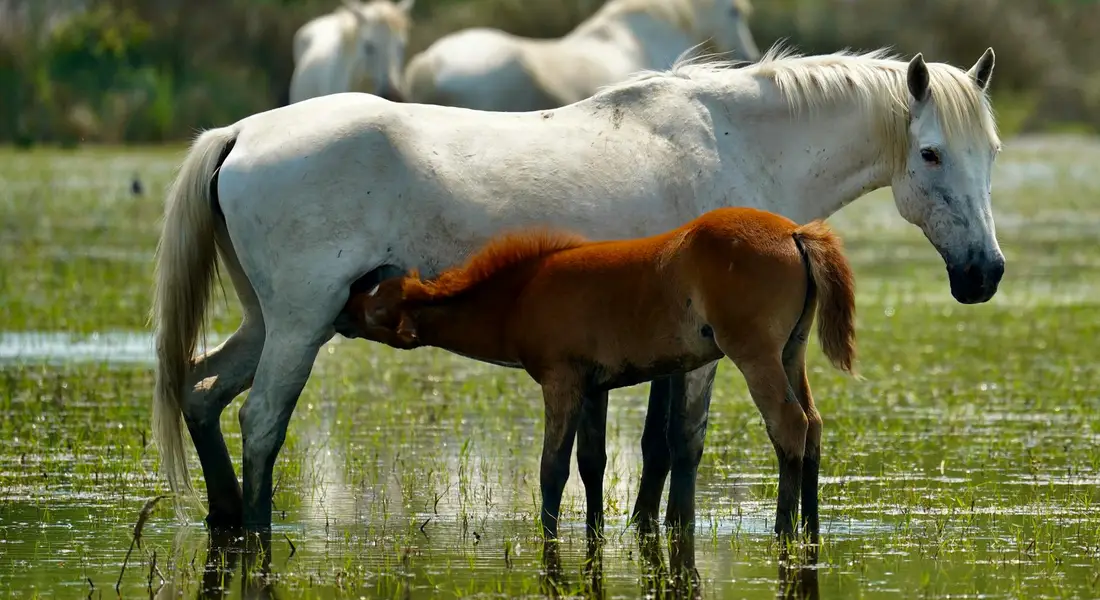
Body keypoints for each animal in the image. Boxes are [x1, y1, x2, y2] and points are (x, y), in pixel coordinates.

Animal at [338, 207, 857, 540]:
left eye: (377, 307)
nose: (342, 308)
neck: (521, 294)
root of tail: (795, 232)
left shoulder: (561, 381)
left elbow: (552, 469)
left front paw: (548, 534)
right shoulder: (595, 387)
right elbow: (592, 463)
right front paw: (595, 530)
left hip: (755, 355)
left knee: (789, 425)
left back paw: (785, 528)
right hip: (791, 352)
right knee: (813, 425)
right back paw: (811, 526)